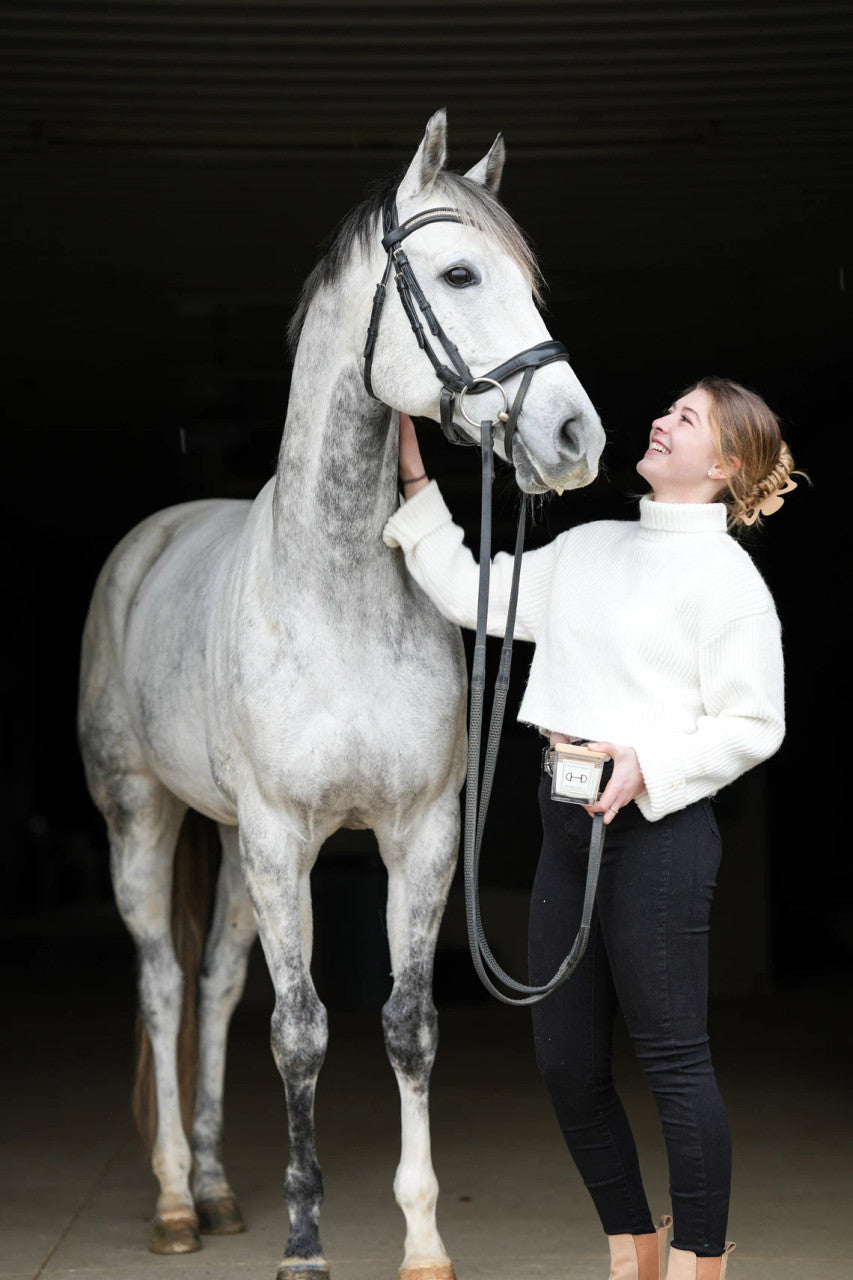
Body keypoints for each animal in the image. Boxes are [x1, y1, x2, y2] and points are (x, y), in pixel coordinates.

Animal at [76, 110, 601, 1280]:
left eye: (532, 286)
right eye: (458, 274)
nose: (574, 439)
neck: (340, 592)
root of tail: (152, 537)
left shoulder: (419, 835)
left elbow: (405, 1023)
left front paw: (422, 1239)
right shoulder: (284, 836)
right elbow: (301, 1031)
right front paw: (306, 1242)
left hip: (231, 845)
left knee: (218, 983)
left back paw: (218, 1189)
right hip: (146, 818)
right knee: (166, 986)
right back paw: (175, 1201)